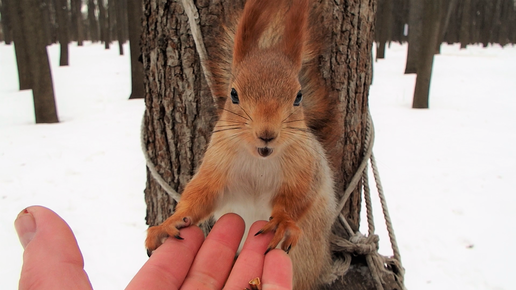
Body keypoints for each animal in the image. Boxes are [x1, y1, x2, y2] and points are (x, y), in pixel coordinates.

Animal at [146, 1, 338, 288]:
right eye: (233, 94)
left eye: (298, 96)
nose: (267, 133)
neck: (260, 158)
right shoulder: (217, 163)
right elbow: (201, 195)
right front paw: (170, 223)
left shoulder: (307, 166)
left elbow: (300, 195)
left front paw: (283, 220)